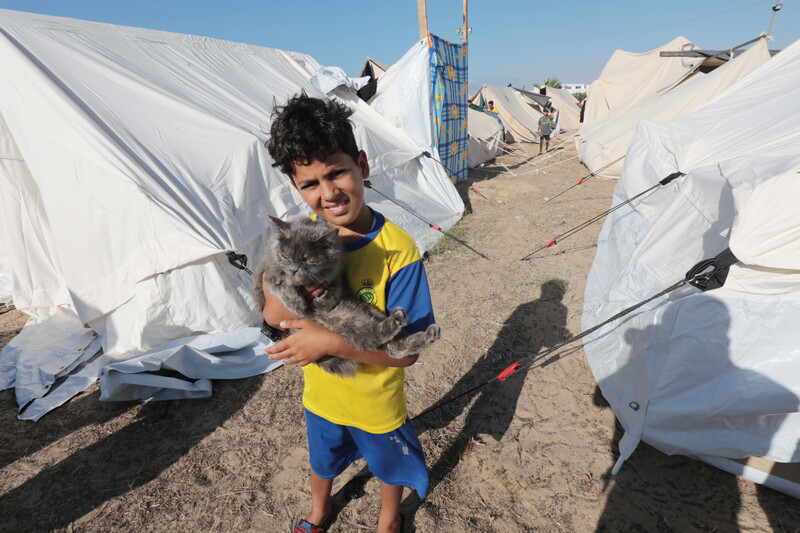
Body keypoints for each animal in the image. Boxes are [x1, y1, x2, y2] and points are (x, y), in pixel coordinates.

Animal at [253, 214, 440, 376]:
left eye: (308, 260)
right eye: (285, 256)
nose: (293, 270)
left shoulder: (337, 274)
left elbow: (335, 288)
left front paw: (323, 303)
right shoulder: (269, 275)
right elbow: (282, 286)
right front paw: (297, 304)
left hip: (359, 318)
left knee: (386, 344)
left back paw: (425, 331)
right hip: (343, 322)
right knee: (383, 343)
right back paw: (410, 325)